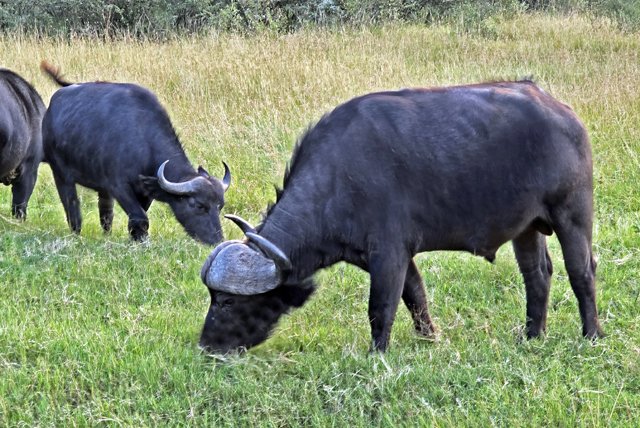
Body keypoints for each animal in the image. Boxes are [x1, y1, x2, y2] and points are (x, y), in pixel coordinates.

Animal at [40, 61, 230, 244]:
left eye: (220, 206)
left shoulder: (145, 192)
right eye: (199, 205)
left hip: (101, 188)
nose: (216, 240)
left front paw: (136, 238)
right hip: (61, 175)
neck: (144, 144)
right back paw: (75, 233)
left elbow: (137, 217)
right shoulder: (118, 186)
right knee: (71, 206)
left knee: (106, 213)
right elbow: (140, 217)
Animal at [200, 80, 603, 353]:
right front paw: (430, 338)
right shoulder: (392, 256)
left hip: (572, 214)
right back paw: (533, 334)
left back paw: (592, 334)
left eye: (227, 301)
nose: (207, 347)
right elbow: (415, 295)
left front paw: (376, 353)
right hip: (526, 228)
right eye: (212, 296)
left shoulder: (388, 254)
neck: (338, 179)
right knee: (538, 275)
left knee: (581, 271)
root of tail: (562, 111)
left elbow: (381, 307)